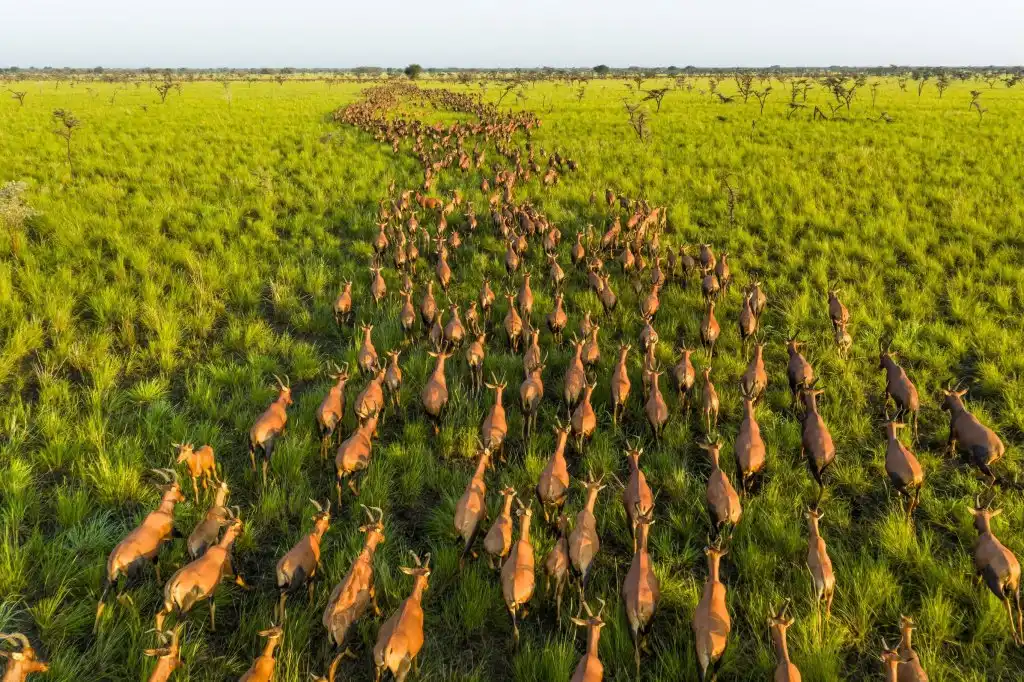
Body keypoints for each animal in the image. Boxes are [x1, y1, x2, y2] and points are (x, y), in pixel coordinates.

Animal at [95, 469, 184, 631]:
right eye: (177, 488)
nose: (183, 497)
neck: (161, 513)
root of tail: (116, 559)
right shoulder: (167, 539)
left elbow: (156, 565)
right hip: (133, 576)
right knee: (120, 595)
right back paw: (135, 615)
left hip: (111, 578)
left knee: (102, 600)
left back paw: (95, 630)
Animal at [324, 505, 386, 649]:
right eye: (381, 527)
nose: (384, 538)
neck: (363, 560)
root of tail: (330, 625)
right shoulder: (372, 587)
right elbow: (375, 601)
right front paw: (380, 614)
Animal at [373, 552, 431, 682]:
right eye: (428, 573)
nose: (427, 586)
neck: (413, 600)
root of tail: (387, 650)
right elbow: (415, 660)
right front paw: (417, 673)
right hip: (401, 673)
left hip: (378, 668)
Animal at [970, 496, 1022, 645]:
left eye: (975, 515)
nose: (974, 525)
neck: (987, 535)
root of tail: (1012, 570)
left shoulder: (978, 567)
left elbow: (977, 580)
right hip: (1015, 588)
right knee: (1019, 610)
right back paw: (1021, 640)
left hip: (996, 585)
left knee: (1006, 602)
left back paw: (1014, 636)